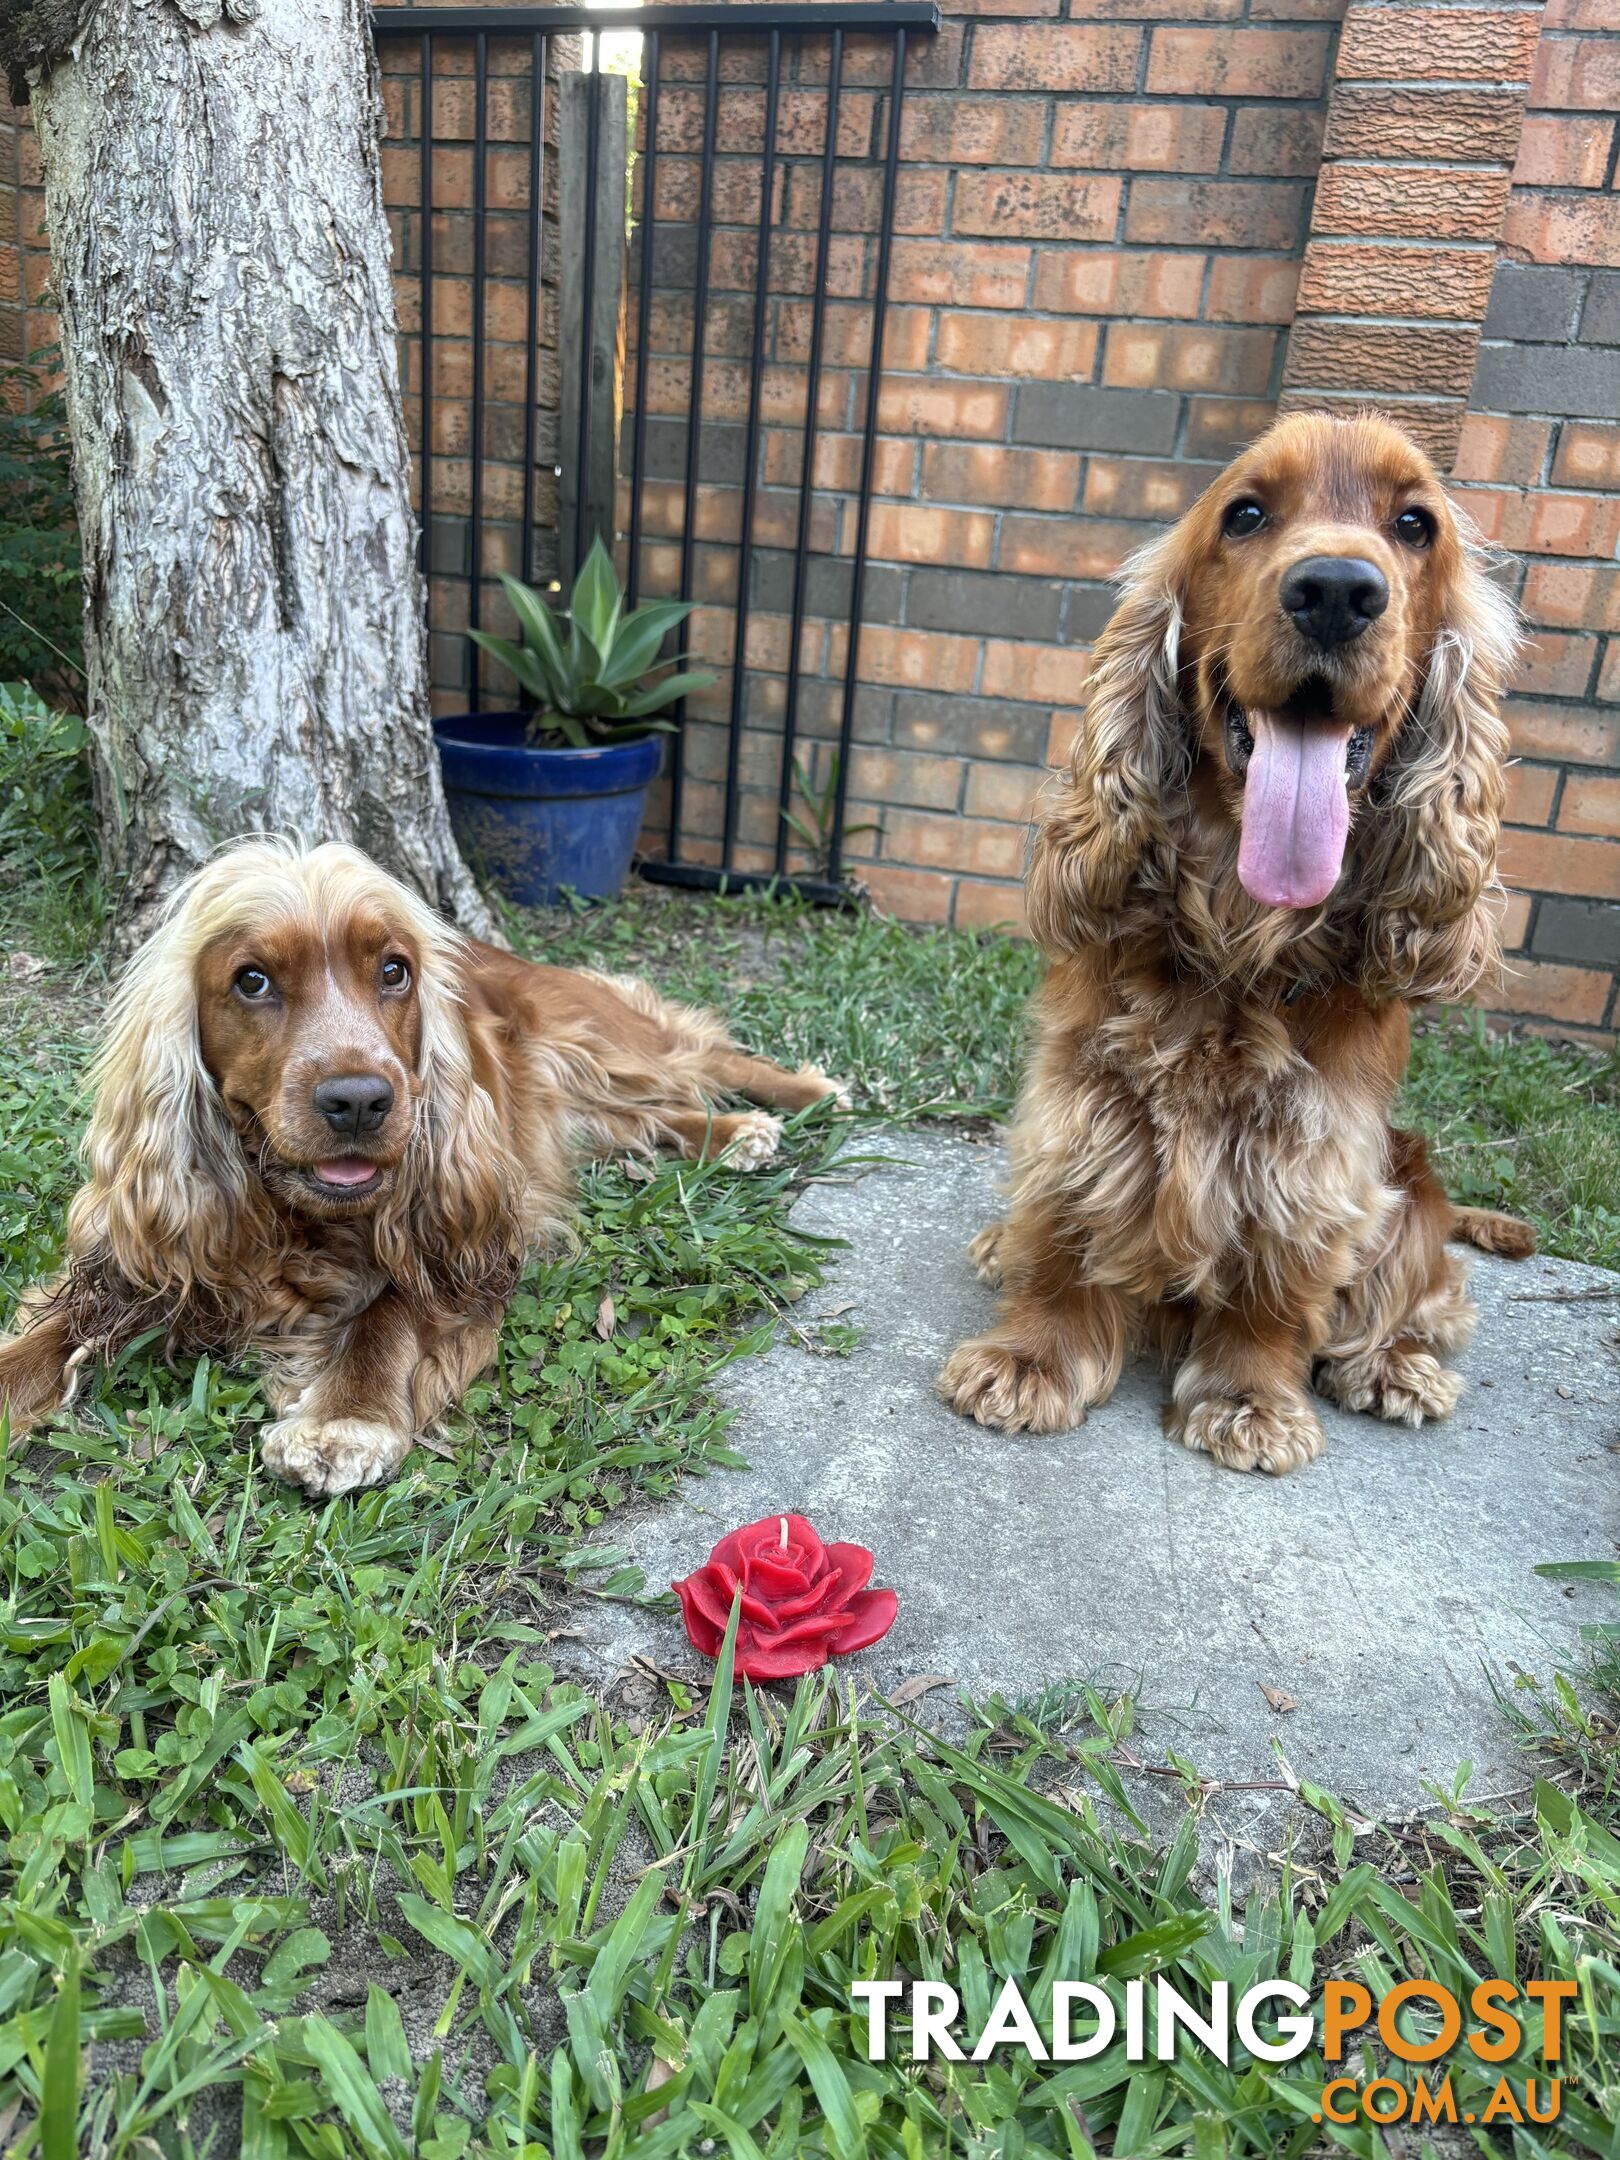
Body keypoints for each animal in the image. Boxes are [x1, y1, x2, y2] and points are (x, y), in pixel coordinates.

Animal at [6, 838, 851, 1486]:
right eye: (251, 980)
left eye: (393, 971)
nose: (359, 1100)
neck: (296, 1217)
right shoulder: (145, 1256)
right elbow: (55, 1329)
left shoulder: (461, 1234)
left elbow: (392, 1311)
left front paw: (345, 1420)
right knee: (641, 1117)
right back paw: (736, 1133)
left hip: (602, 1039)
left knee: (701, 1053)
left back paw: (802, 1094)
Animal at [937, 412, 1537, 1477]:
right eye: (1247, 514)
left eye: (1415, 525)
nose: (1337, 590)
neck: (1241, 938)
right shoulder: (1081, 1094)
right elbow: (1068, 1221)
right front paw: (1031, 1356)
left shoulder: (1319, 1146)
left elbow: (1282, 1275)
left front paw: (1250, 1399)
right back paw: (999, 1247)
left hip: (1407, 1184)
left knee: (1423, 1291)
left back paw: (1395, 1367)